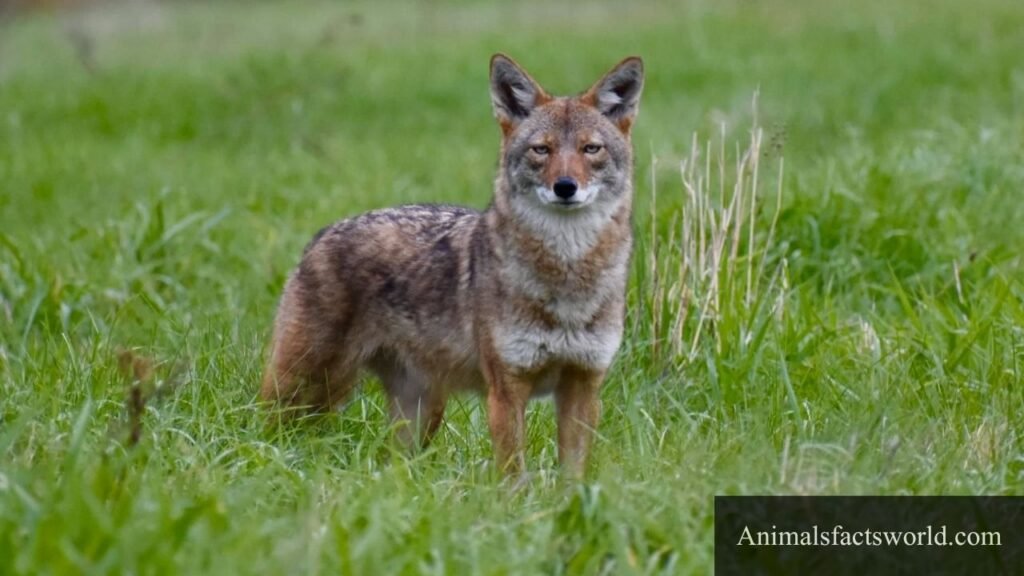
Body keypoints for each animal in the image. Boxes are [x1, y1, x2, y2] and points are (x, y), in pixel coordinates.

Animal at [261, 53, 644, 479]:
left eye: (590, 149)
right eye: (540, 150)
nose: (565, 186)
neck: (568, 275)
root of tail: (321, 234)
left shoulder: (583, 386)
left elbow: (573, 478)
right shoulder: (506, 391)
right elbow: (513, 476)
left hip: (418, 413)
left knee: (394, 466)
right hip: (305, 388)